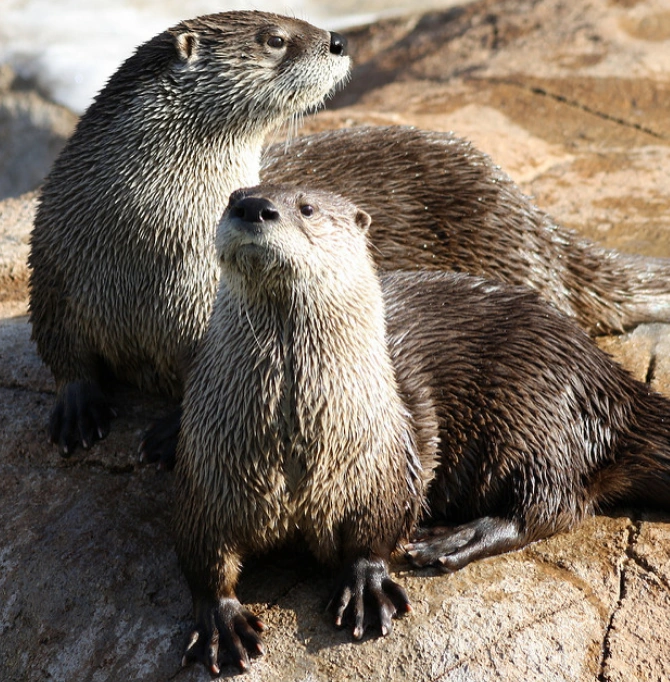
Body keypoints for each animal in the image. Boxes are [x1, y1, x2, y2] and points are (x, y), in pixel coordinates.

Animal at [29, 11, 670, 457]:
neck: (143, 241)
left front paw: (168, 431)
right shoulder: (55, 262)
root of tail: (532, 217)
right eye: (275, 38)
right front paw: (77, 407)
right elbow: (61, 348)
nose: (338, 39)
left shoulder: (205, 303)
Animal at [175, 185, 670, 673]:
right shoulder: (207, 470)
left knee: (553, 505)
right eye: (233, 197)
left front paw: (366, 583)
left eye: (307, 208)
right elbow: (202, 553)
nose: (254, 207)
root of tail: (610, 380)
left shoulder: (383, 464)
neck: (297, 446)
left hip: (533, 415)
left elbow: (380, 527)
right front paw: (221, 619)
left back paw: (450, 538)